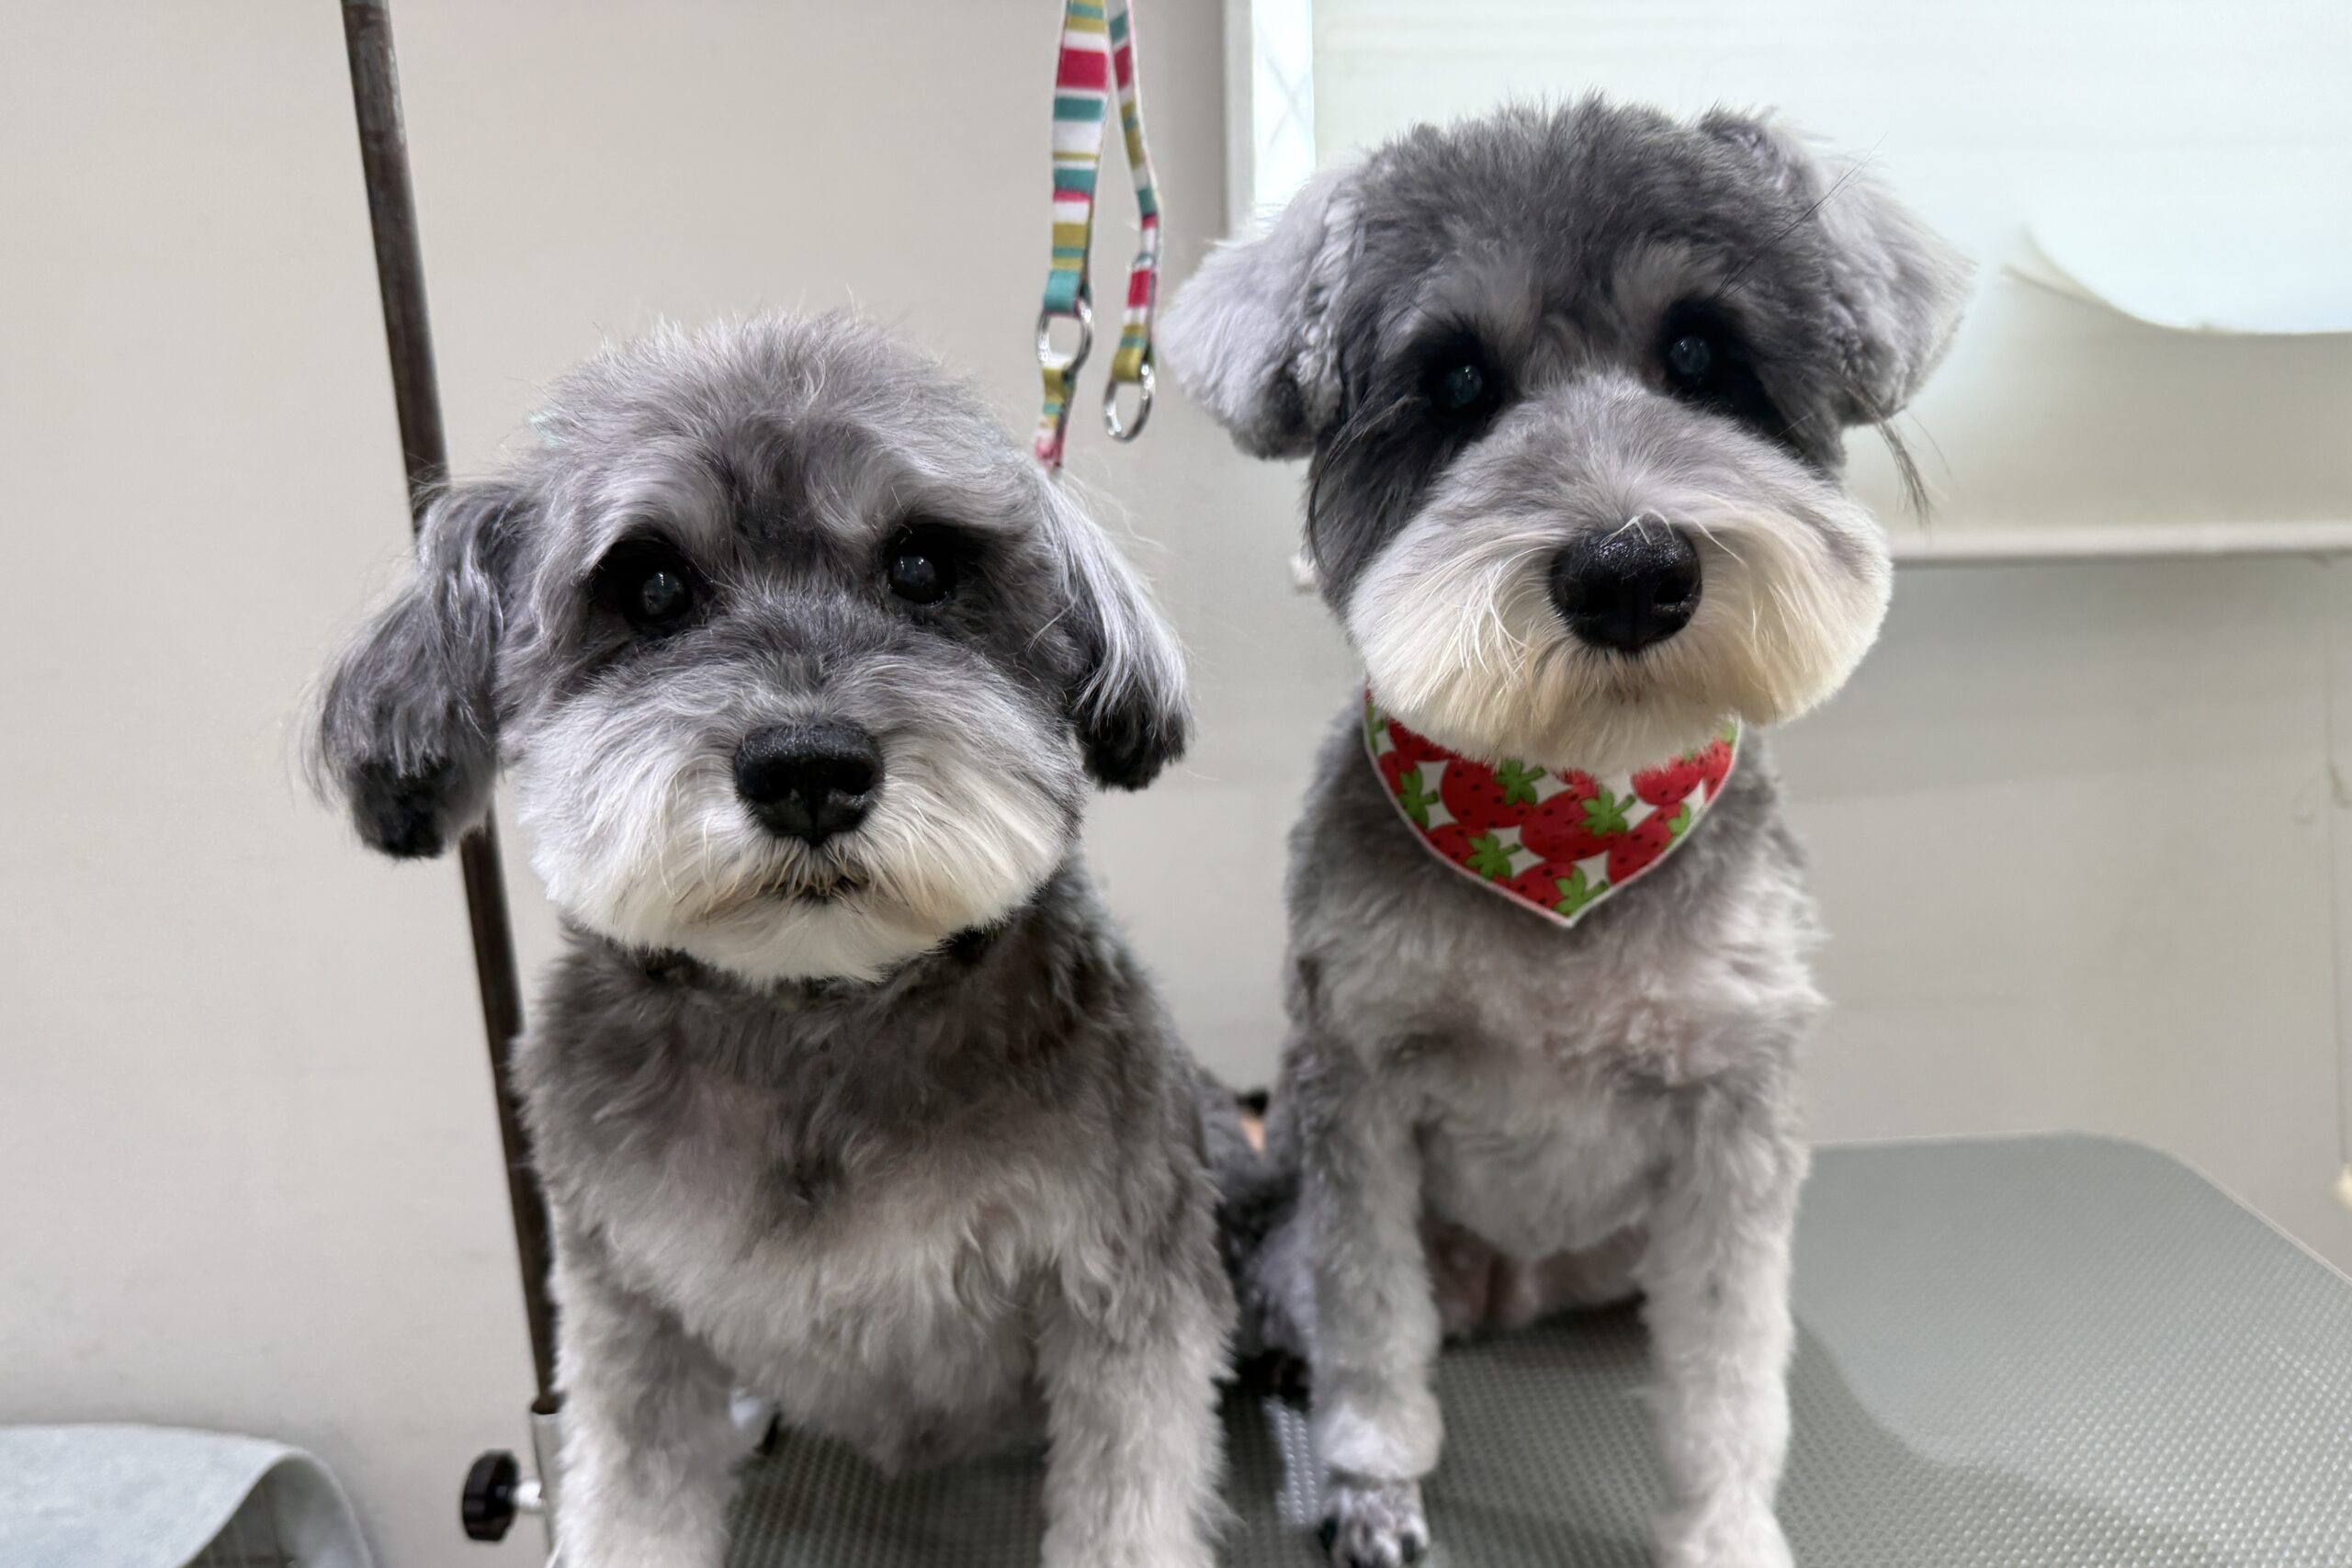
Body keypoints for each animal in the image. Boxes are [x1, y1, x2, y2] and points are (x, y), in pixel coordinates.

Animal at [307, 313, 1243, 1568]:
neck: (813, 1016)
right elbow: (630, 1506)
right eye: (651, 586)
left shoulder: (1121, 1294)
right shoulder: (628, 1318)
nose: (809, 769)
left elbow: (1129, 1499)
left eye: (921, 567)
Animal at [1164, 99, 1967, 1568]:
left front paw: (1725, 1524)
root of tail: (1522, 1283)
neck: (1563, 813)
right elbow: (1373, 1326)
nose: (1630, 568)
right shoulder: (1360, 1090)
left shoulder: (1734, 1121)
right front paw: (1372, 1483)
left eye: (1702, 353)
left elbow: (1727, 1366)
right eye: (1454, 382)